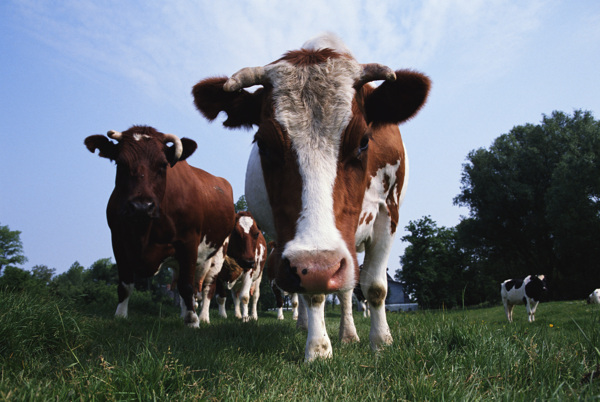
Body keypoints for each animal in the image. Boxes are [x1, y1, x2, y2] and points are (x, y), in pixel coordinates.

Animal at [85, 125, 236, 326]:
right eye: (120, 163)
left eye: (163, 164)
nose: (141, 207)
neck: (144, 232)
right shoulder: (118, 240)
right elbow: (125, 284)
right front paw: (120, 315)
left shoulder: (189, 242)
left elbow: (187, 286)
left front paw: (192, 321)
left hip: (218, 253)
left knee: (206, 288)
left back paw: (203, 317)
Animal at [192, 33, 432, 362]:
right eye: (263, 143)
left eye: (364, 141)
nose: (319, 265)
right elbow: (314, 293)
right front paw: (318, 349)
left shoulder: (388, 211)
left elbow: (374, 287)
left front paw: (381, 342)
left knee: (347, 289)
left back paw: (349, 333)